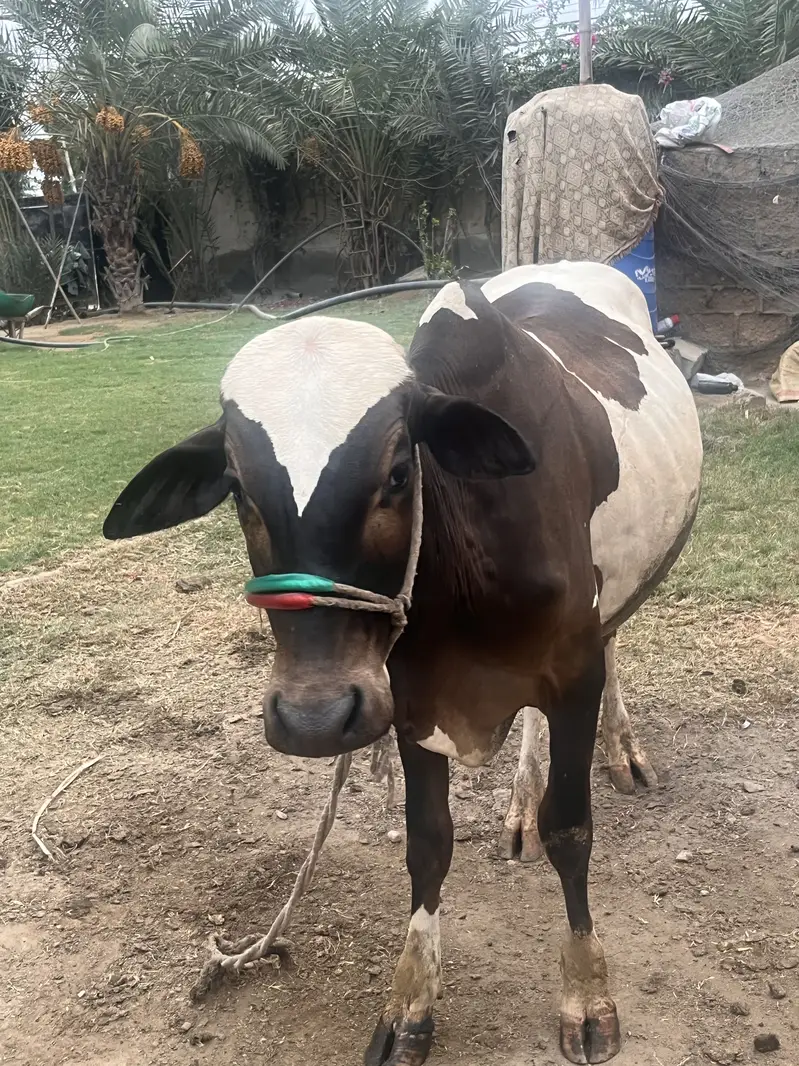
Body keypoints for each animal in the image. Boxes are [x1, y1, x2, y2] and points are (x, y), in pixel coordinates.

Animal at [104, 262, 702, 1065]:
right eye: (236, 487)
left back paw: (623, 752)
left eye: (396, 471)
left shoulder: (573, 676)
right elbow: (427, 845)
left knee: (613, 647)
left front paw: (586, 994)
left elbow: (571, 831)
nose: (314, 717)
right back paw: (518, 802)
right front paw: (410, 1005)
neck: (470, 554)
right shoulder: (407, 698)